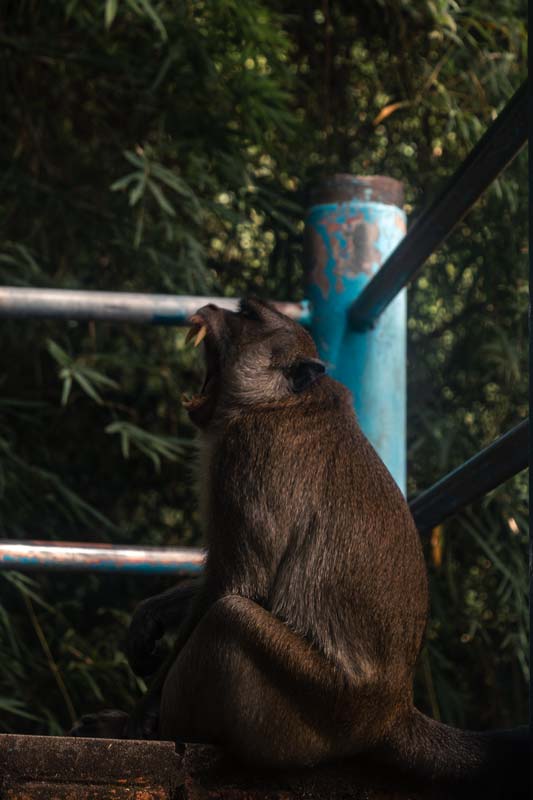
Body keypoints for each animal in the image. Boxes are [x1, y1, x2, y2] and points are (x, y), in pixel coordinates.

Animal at [71, 298, 528, 798]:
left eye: (248, 315)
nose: (210, 307)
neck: (279, 401)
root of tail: (393, 711)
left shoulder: (246, 452)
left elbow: (236, 582)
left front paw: (141, 714)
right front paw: (150, 616)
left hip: (312, 705)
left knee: (229, 618)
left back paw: (149, 730)